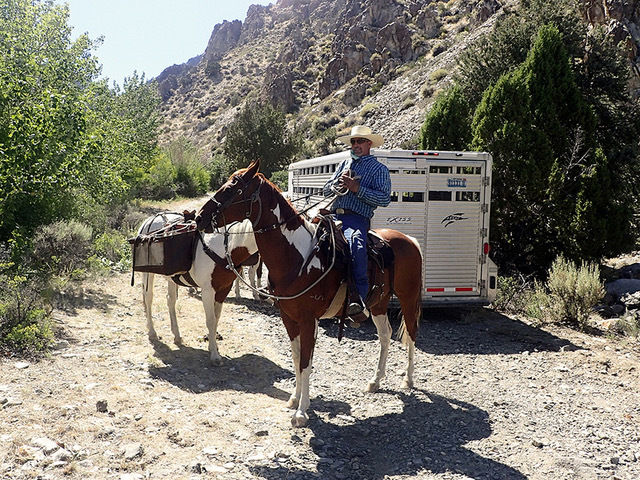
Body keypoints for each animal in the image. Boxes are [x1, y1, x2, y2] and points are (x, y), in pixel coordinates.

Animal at [195, 161, 424, 428]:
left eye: (233, 188)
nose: (199, 217)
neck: (297, 257)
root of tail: (409, 239)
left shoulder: (308, 320)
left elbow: (306, 362)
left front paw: (301, 412)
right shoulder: (288, 318)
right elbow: (296, 358)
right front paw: (295, 399)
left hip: (408, 297)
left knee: (411, 333)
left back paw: (408, 379)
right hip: (378, 303)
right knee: (386, 335)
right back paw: (375, 381)